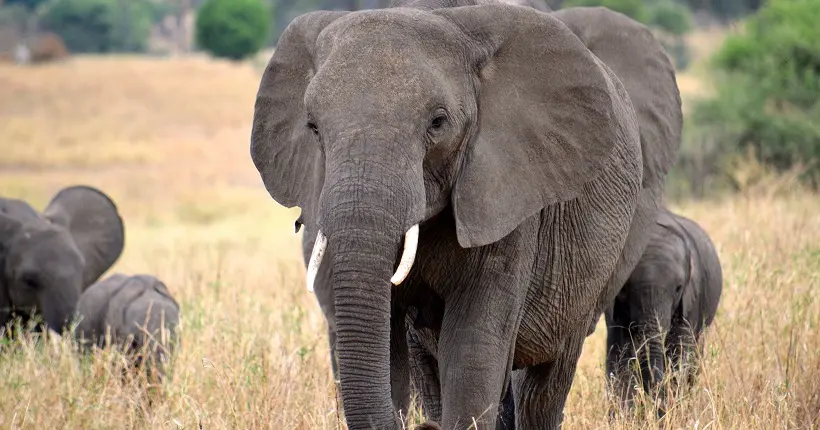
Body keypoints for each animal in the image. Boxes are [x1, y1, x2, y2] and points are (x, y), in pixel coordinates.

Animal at [253, 1, 684, 428]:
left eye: (437, 122)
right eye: (313, 127)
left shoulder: (508, 188)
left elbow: (472, 348)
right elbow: (388, 340)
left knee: (545, 385)